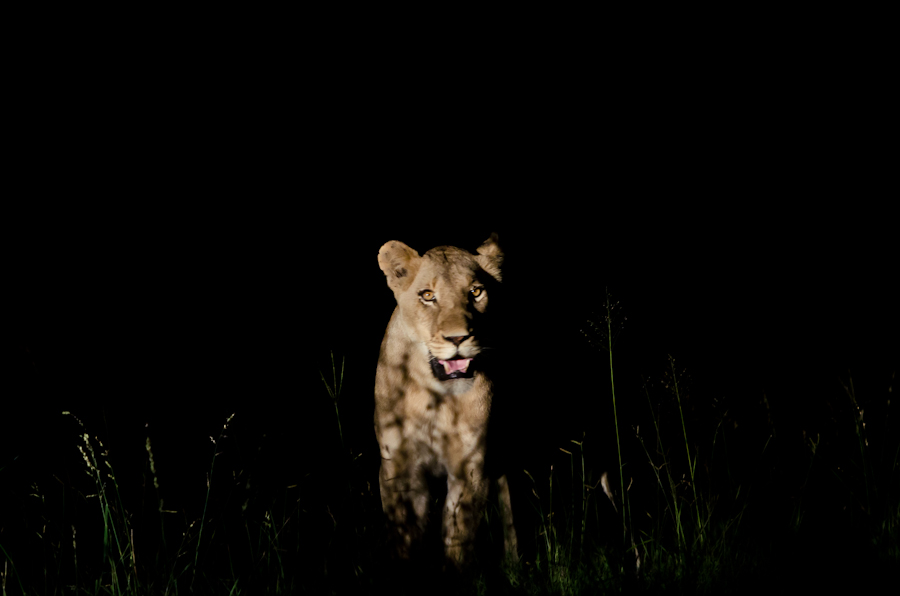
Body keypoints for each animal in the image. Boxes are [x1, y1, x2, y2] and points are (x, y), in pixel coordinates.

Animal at [374, 233, 517, 568]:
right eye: (428, 295)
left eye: (475, 292)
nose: (457, 339)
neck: (435, 396)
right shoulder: (399, 466)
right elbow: (404, 535)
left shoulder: (470, 465)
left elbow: (458, 537)